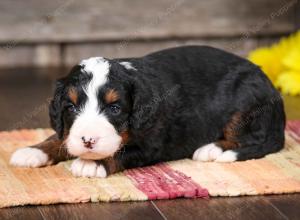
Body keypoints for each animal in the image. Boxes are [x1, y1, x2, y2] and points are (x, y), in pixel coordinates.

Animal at [9, 45, 286, 178]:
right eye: (72, 107)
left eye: (115, 108)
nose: (88, 140)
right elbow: (62, 136)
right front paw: (33, 150)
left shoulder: (152, 144)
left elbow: (122, 151)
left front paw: (92, 164)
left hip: (245, 103)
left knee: (256, 140)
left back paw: (211, 149)